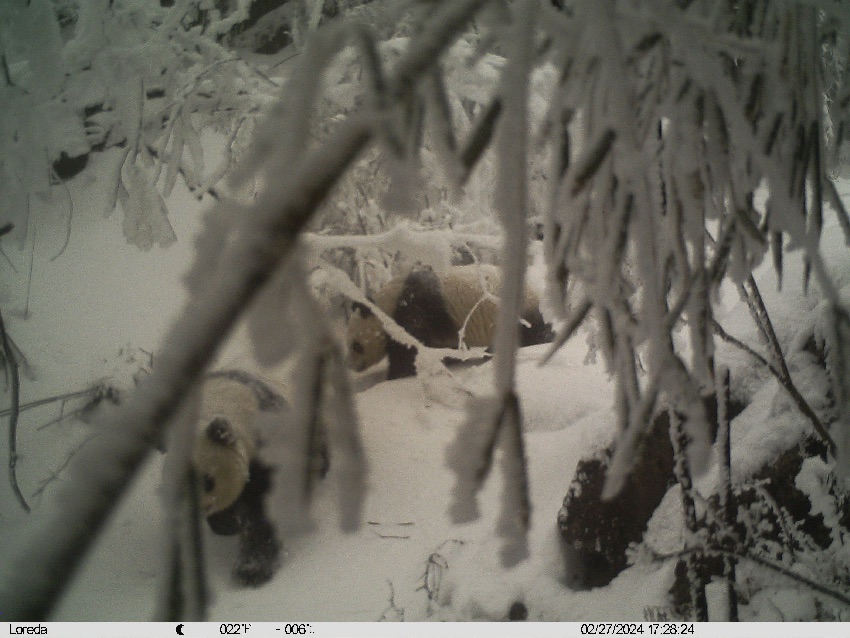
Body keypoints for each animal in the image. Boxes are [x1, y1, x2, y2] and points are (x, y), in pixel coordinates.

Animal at [192, 370, 328, 592]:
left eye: (207, 480)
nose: (202, 509)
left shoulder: (271, 440)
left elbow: (267, 510)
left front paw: (252, 570)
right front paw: (227, 524)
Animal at [344, 264, 548, 380]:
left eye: (356, 345)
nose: (352, 366)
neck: (387, 306)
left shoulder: (413, 311)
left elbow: (410, 349)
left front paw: (397, 374)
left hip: (515, 311)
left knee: (532, 332)